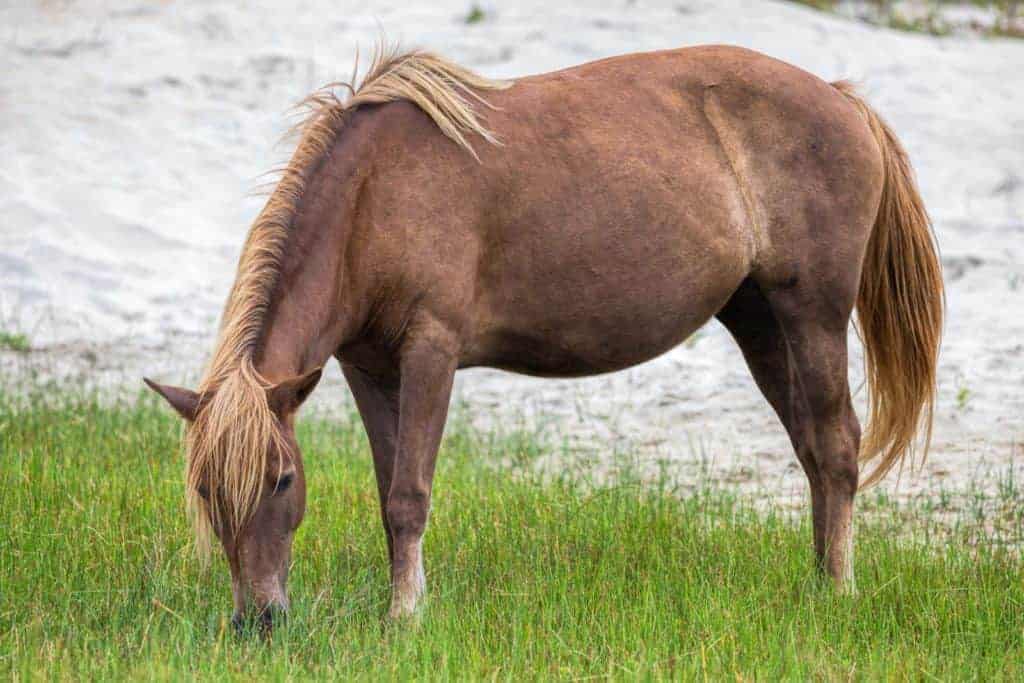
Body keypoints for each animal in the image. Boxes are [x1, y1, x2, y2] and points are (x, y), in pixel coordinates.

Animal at [145, 44, 943, 629]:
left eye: (281, 479)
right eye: (206, 487)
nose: (259, 619)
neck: (374, 196)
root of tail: (842, 99)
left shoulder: (430, 351)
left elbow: (408, 494)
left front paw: (405, 617)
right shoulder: (367, 368)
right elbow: (385, 491)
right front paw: (401, 600)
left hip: (812, 316)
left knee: (837, 446)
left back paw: (837, 591)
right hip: (760, 321)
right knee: (812, 449)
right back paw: (815, 581)